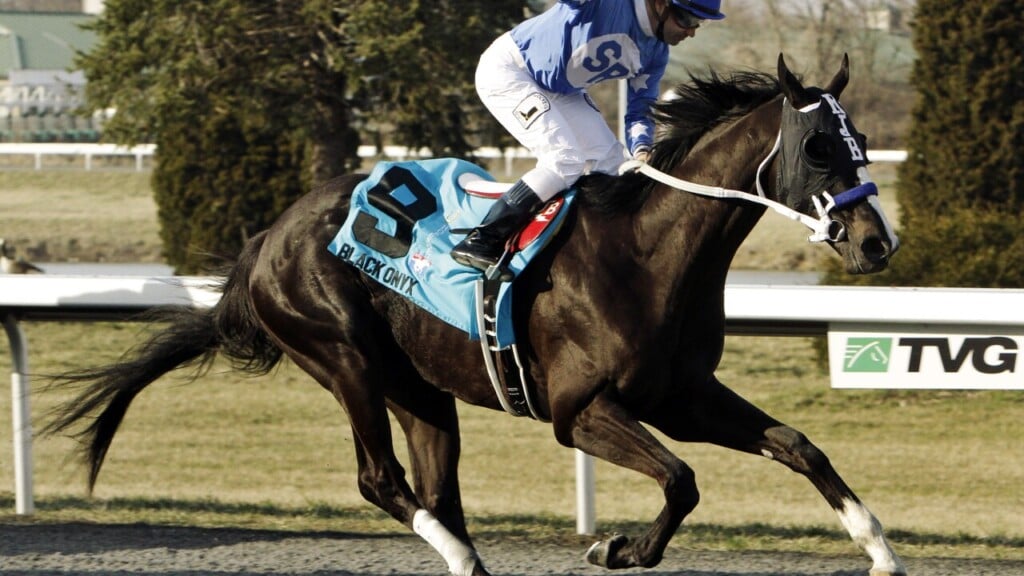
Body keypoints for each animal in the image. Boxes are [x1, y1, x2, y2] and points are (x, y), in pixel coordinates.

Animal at [46, 54, 906, 576]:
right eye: (819, 147)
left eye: (861, 138)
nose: (876, 242)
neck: (646, 254)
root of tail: (264, 240)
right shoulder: (579, 411)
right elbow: (683, 479)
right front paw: (618, 548)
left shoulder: (682, 395)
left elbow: (796, 446)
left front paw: (879, 549)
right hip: (341, 355)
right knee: (382, 480)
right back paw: (461, 558)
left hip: (421, 389)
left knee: (437, 489)